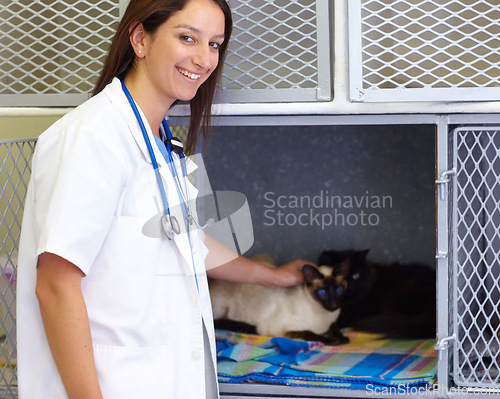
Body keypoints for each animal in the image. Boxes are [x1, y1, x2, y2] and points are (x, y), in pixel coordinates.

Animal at [209, 258, 350, 346]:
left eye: (338, 289)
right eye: (322, 292)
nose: (333, 304)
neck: (324, 316)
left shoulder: (332, 321)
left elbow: (334, 327)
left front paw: (342, 338)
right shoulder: (280, 330)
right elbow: (307, 332)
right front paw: (331, 340)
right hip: (222, 309)